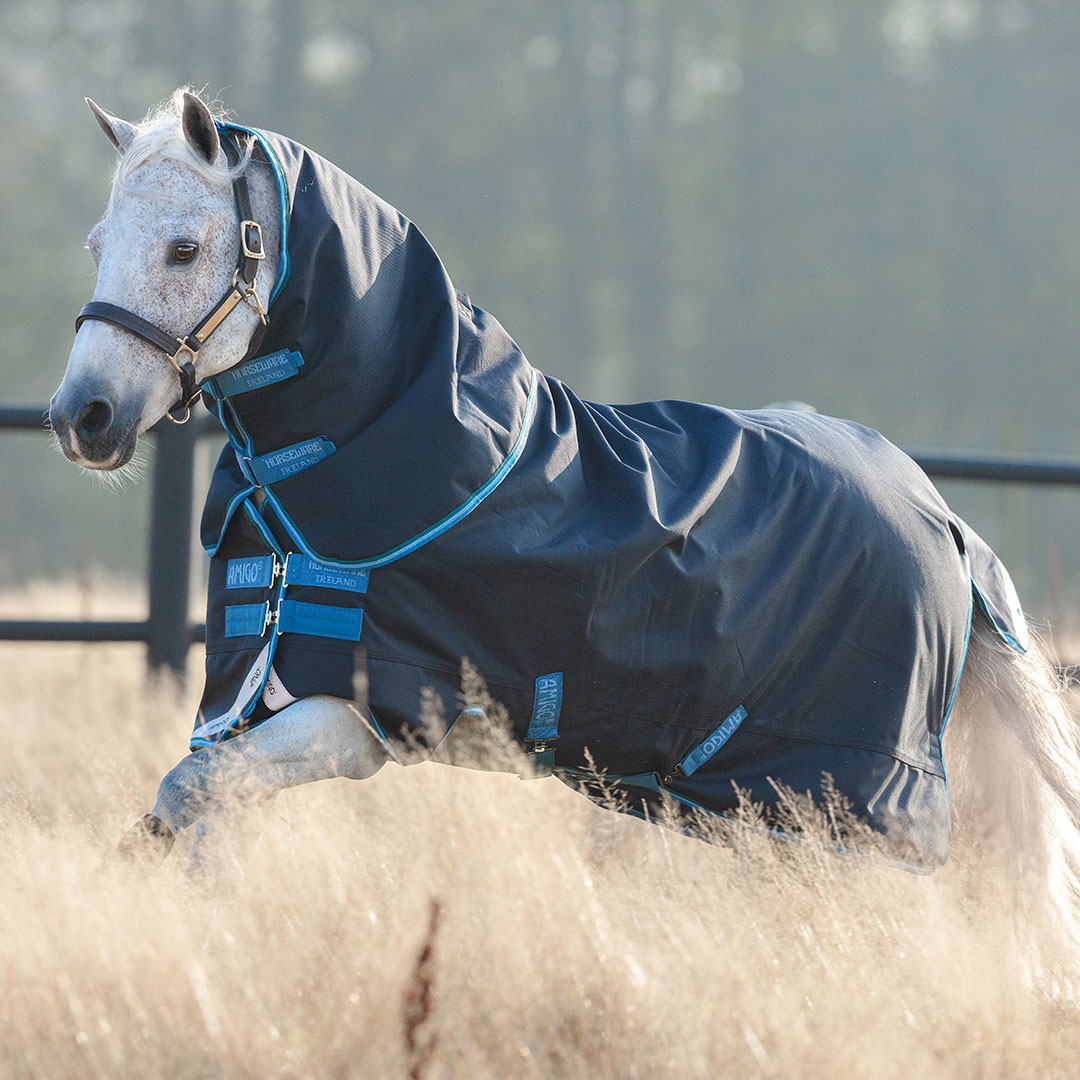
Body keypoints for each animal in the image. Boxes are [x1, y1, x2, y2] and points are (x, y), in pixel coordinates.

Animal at [49, 89, 1080, 956]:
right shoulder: (245, 699)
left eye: (186, 248)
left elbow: (184, 794)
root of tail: (946, 520)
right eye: (98, 243)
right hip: (779, 809)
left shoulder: (357, 720)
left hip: (841, 803)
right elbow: (206, 818)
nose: (82, 418)